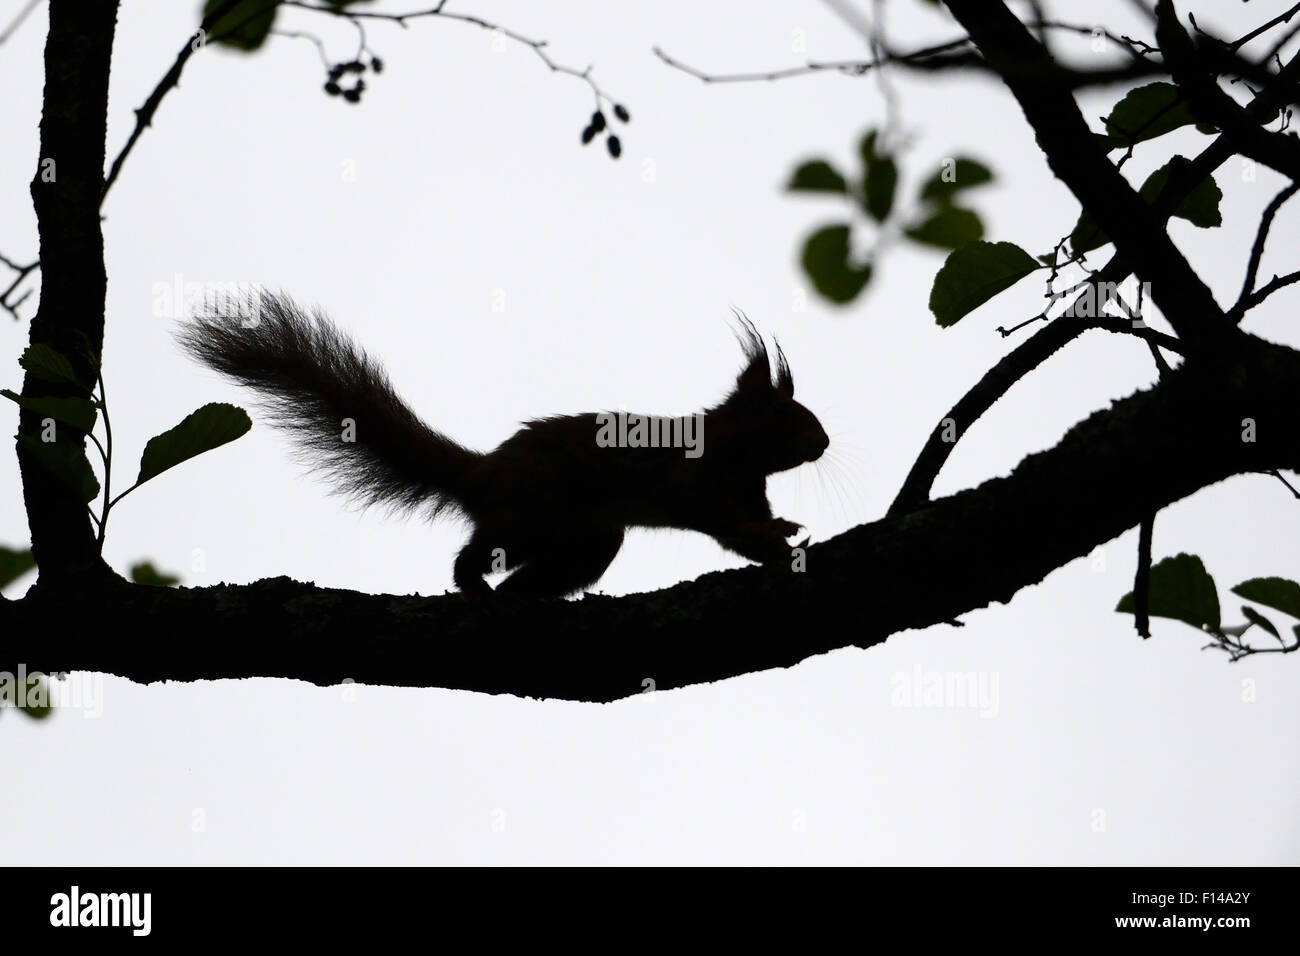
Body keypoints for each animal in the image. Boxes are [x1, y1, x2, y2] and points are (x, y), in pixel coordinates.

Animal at [178, 291, 826, 598]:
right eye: (782, 413)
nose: (822, 441)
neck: (737, 455)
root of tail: (481, 472)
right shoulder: (696, 480)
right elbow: (717, 519)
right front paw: (770, 539)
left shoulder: (749, 490)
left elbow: (746, 526)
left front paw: (780, 536)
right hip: (533, 511)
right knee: (478, 553)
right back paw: (474, 586)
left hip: (583, 537)